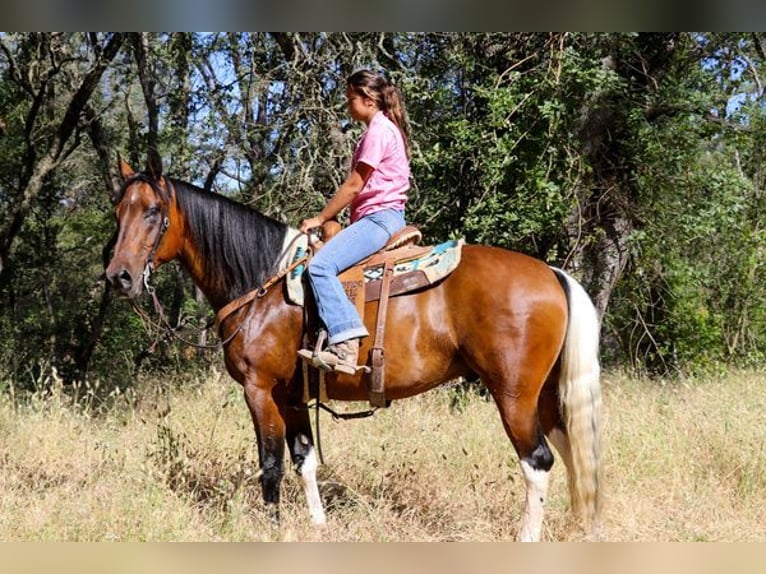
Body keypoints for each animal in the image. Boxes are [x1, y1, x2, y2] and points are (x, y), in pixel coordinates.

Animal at [104, 156, 602, 541]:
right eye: (118, 211)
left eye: (153, 211)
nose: (119, 277)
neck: (261, 284)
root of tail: (552, 273)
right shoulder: (293, 395)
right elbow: (304, 458)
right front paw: (318, 525)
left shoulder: (259, 389)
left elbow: (271, 464)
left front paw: (271, 529)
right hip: (546, 395)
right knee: (572, 454)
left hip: (514, 395)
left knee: (537, 461)